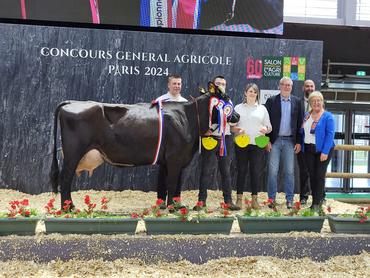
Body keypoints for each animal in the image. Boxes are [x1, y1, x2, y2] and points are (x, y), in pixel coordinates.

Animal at [49, 86, 240, 207]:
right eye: (226, 99)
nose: (237, 115)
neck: (188, 117)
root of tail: (71, 102)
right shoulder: (175, 157)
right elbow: (172, 183)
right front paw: (172, 207)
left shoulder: (173, 159)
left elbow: (174, 183)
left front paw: (174, 205)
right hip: (73, 153)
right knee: (65, 179)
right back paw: (68, 208)